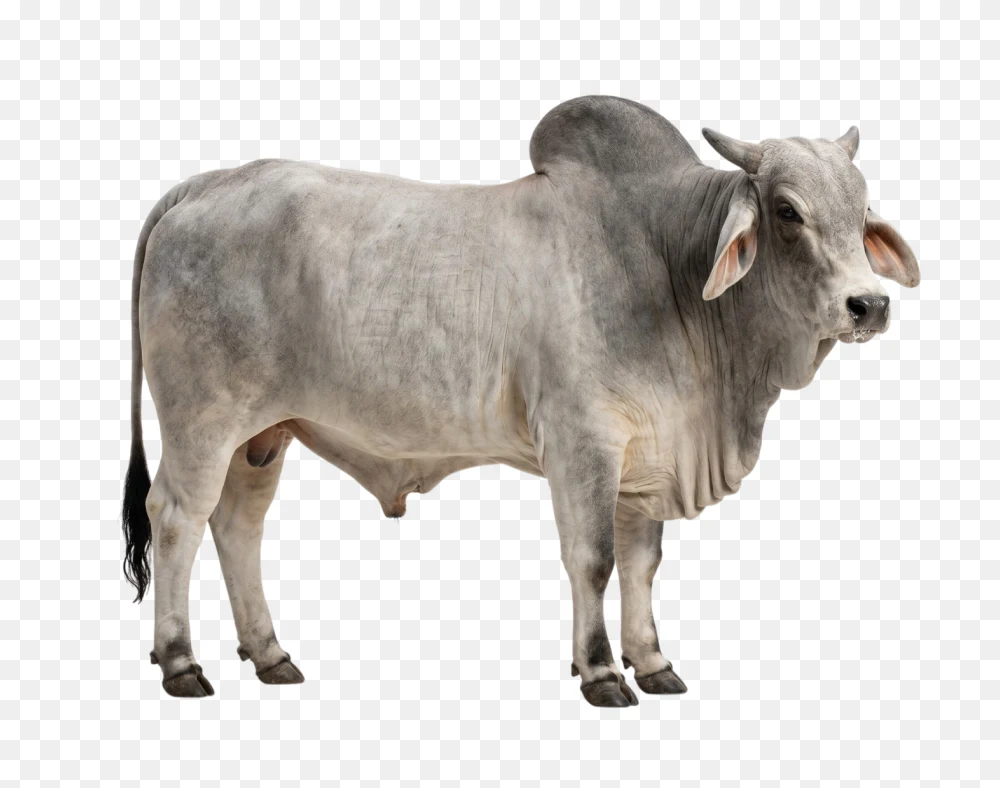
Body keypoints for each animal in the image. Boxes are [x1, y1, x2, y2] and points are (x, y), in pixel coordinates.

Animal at [122, 96, 919, 705]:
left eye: (863, 210)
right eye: (787, 211)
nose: (869, 304)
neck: (668, 263)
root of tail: (206, 184)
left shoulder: (643, 458)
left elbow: (642, 562)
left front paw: (652, 661)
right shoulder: (582, 441)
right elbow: (593, 559)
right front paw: (600, 671)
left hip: (264, 434)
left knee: (238, 525)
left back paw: (269, 654)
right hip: (202, 422)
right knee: (178, 517)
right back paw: (181, 661)